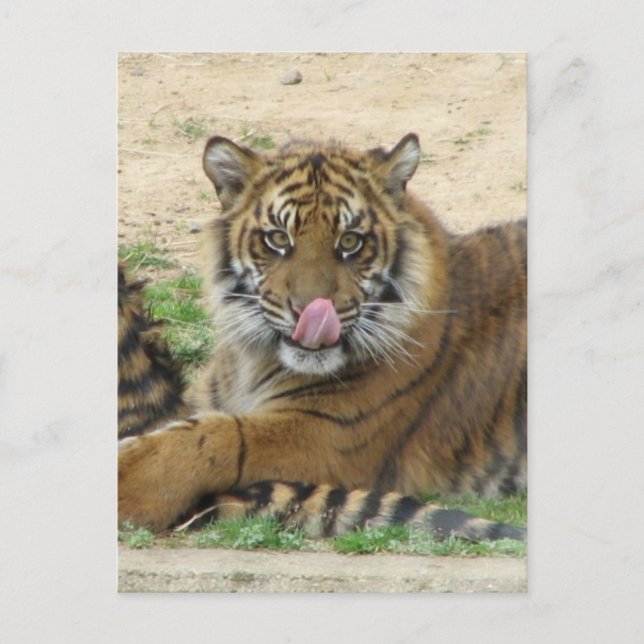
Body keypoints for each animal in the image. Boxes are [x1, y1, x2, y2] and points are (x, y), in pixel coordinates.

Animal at [118, 133, 527, 542]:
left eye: (349, 242)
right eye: (278, 238)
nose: (310, 312)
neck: (255, 361)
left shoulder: (330, 434)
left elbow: (219, 438)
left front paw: (127, 479)